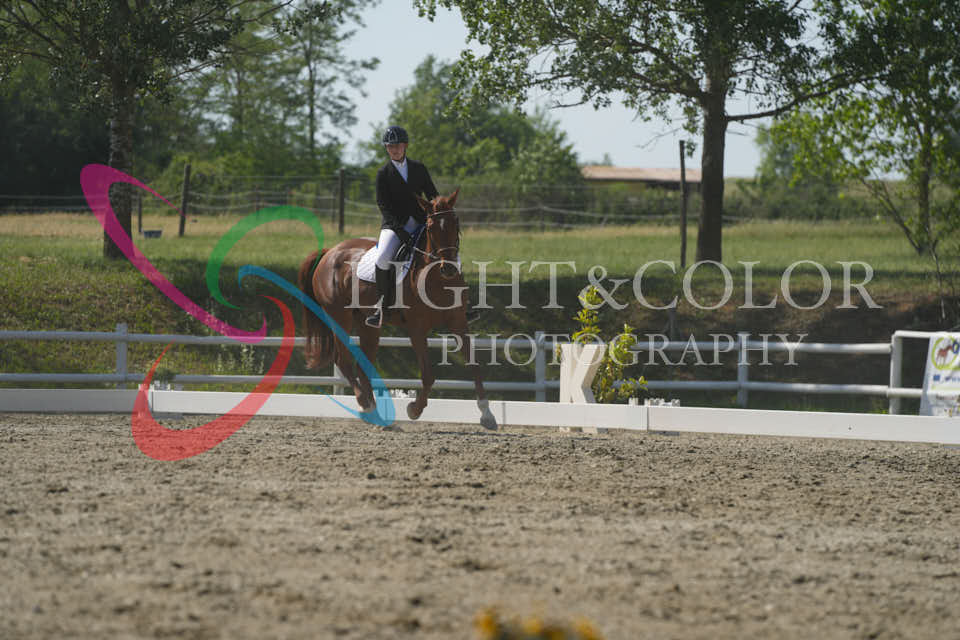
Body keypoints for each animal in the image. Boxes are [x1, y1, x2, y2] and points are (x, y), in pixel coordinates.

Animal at [297, 188, 497, 430]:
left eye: (455, 223)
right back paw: (367, 406)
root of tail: (329, 252)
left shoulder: (458, 323)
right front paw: (414, 409)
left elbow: (475, 366)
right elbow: (428, 375)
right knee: (343, 361)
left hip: (367, 325)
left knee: (364, 365)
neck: (436, 277)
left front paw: (487, 414)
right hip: (339, 317)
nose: (449, 268)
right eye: (431, 227)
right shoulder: (417, 329)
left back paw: (377, 416)